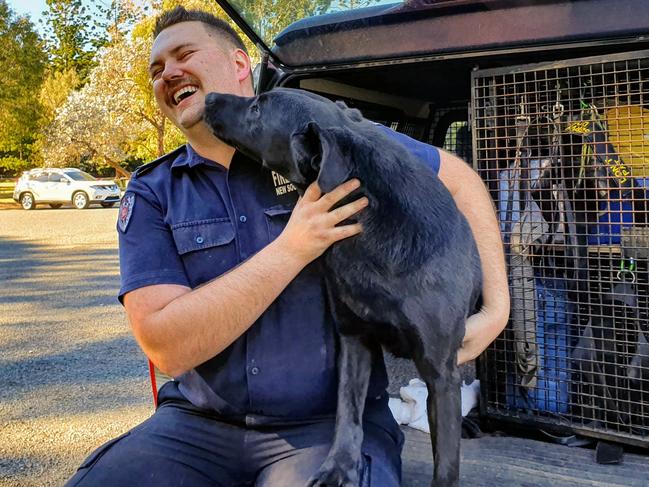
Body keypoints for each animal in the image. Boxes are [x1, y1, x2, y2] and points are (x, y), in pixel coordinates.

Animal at [202, 88, 480, 487]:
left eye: (256, 108)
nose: (209, 97)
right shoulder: (354, 338)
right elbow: (348, 412)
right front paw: (339, 467)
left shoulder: (440, 372)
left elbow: (446, 462)